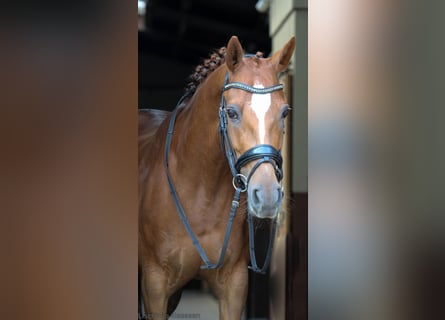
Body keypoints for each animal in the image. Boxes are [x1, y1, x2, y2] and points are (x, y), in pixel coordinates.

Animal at [137, 36, 294, 318]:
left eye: (285, 112)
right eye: (231, 112)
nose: (267, 196)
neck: (201, 192)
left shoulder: (234, 285)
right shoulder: (155, 285)